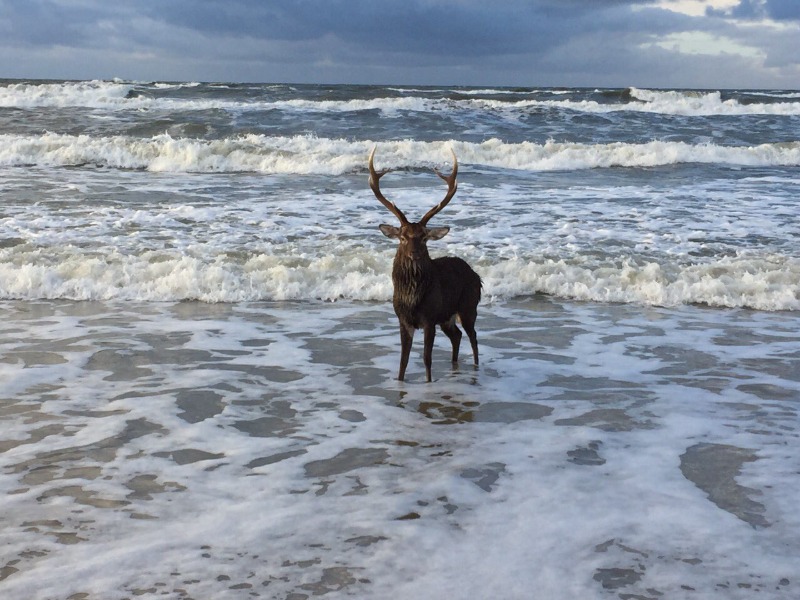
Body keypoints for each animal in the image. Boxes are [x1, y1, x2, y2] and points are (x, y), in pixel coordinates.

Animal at [369, 146, 481, 382]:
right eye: (402, 237)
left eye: (423, 237)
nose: (414, 254)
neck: (411, 299)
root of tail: (477, 276)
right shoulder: (403, 320)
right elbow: (403, 361)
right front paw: (400, 381)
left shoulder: (429, 318)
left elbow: (426, 359)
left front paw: (428, 382)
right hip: (447, 316)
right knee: (457, 336)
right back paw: (454, 365)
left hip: (468, 306)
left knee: (473, 337)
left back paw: (475, 368)